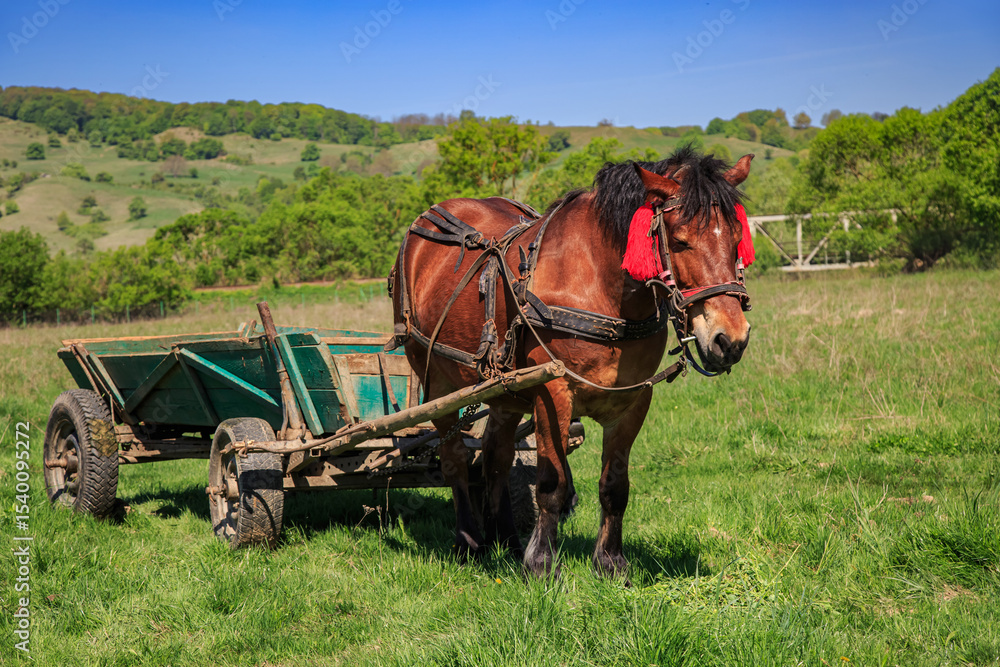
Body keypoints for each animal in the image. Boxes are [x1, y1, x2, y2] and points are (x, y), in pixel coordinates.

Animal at [389, 146, 754, 577]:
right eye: (679, 241)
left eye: (737, 239)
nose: (730, 339)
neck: (599, 285)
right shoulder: (552, 391)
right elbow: (552, 482)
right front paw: (541, 563)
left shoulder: (634, 399)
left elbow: (615, 485)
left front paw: (610, 561)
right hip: (436, 382)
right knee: (456, 461)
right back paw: (469, 542)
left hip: (505, 392)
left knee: (496, 459)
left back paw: (507, 540)